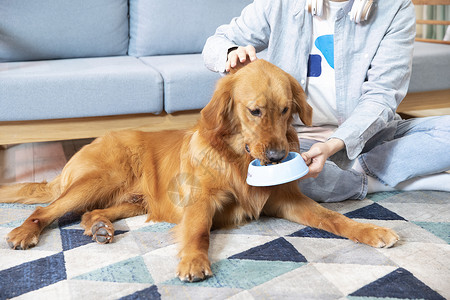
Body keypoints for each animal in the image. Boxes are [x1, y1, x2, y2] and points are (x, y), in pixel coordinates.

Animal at [1, 59, 400, 282]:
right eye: (255, 111)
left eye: (286, 109)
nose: (275, 156)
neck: (239, 160)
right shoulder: (201, 200)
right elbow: (198, 231)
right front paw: (194, 260)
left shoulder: (289, 200)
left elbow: (334, 219)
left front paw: (370, 230)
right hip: (98, 179)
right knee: (45, 209)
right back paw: (24, 233)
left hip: (133, 200)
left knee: (92, 211)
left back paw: (99, 226)